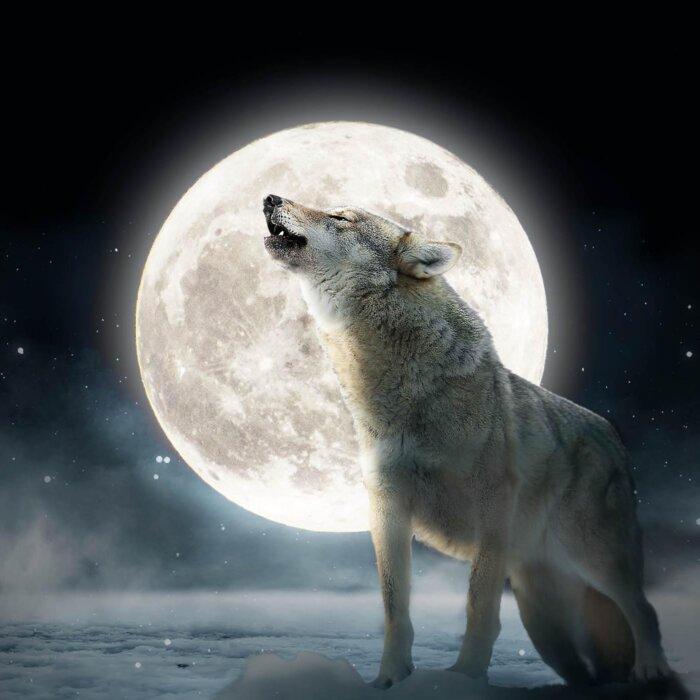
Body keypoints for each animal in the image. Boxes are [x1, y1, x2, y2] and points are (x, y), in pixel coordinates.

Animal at [262, 193, 670, 689]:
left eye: (340, 217)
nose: (269, 197)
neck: (402, 392)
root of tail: (612, 434)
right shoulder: (388, 508)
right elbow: (396, 610)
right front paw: (391, 678)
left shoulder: (492, 507)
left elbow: (480, 606)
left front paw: (465, 676)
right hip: (541, 612)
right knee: (581, 663)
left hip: (593, 556)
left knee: (644, 609)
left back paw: (651, 668)